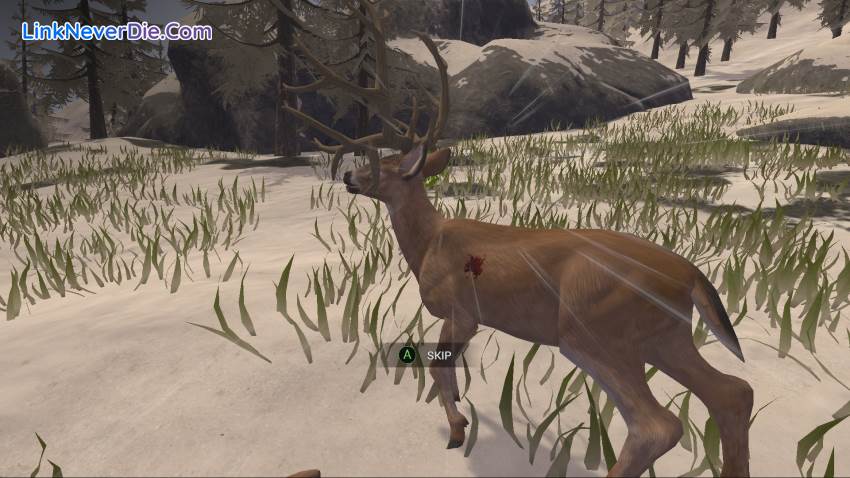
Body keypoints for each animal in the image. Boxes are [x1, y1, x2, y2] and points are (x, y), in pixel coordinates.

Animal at [281, 1, 754, 476]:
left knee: (659, 425)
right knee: (734, 392)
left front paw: (458, 430)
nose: (348, 176)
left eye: (384, 165)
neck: (429, 242)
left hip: (594, 329)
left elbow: (436, 367)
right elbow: (446, 369)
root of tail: (690, 274)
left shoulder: (461, 310)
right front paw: (460, 414)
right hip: (665, 336)